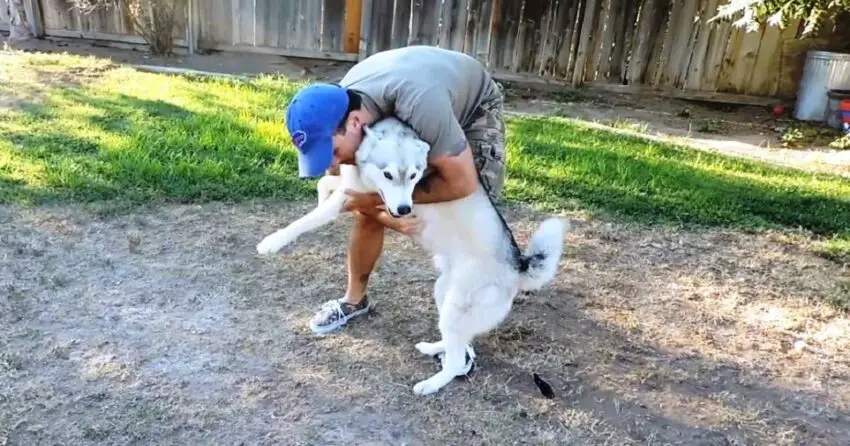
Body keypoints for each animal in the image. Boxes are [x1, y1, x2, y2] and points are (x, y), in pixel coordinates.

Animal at [255, 116, 568, 396]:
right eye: (388, 175)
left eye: (415, 175)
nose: (404, 209)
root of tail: (518, 265)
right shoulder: (349, 187)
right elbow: (324, 186)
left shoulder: (352, 195)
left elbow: (306, 220)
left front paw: (273, 242)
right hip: (444, 293)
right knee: (458, 341)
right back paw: (434, 347)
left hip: (456, 307)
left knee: (456, 359)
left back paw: (430, 385)